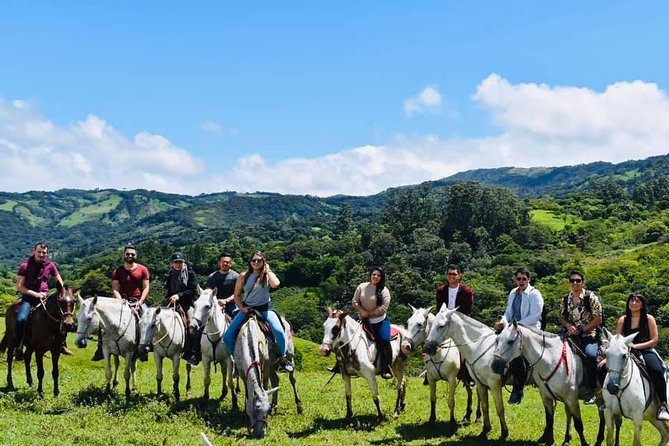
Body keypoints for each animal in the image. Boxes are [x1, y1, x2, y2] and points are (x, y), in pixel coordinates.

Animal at [422, 306, 506, 440]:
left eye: (441, 326)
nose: (427, 348)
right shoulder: (431, 378)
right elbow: (433, 398)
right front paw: (431, 420)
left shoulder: (453, 379)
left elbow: (451, 401)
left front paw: (451, 423)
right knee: (471, 392)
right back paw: (468, 414)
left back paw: (477, 417)